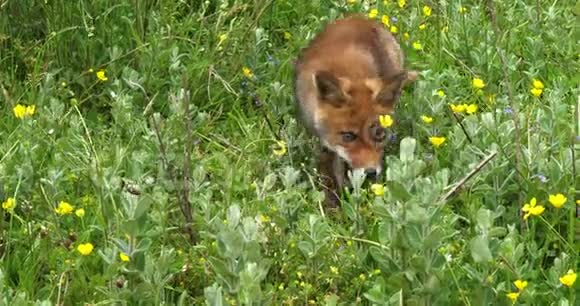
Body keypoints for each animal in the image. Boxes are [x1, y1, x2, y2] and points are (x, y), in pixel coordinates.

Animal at [294, 16, 416, 208]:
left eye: (380, 134)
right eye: (348, 136)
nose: (371, 172)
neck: (348, 71)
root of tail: (361, 18)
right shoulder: (324, 144)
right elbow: (330, 176)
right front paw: (334, 206)